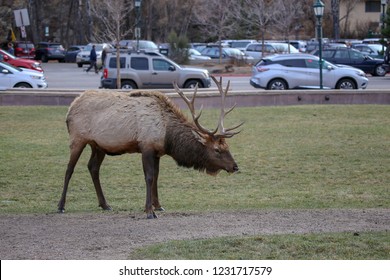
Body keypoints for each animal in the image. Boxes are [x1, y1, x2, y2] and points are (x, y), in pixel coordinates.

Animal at [58, 76, 242, 219]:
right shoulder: (146, 146)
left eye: (227, 146)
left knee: (93, 167)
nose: (235, 166)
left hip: (98, 145)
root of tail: (69, 110)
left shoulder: (157, 152)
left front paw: (158, 205)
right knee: (69, 169)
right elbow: (149, 177)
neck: (168, 136)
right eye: (217, 150)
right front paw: (149, 211)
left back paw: (105, 204)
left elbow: (157, 177)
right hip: (77, 138)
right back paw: (61, 206)